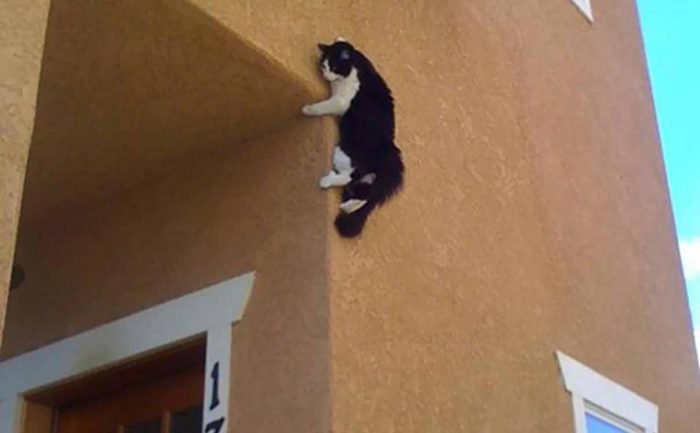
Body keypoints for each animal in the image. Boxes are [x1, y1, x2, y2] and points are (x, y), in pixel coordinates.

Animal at [300, 38, 404, 238]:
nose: (326, 75)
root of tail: (389, 154)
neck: (356, 65)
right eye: (323, 65)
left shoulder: (340, 101)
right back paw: (347, 206)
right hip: (366, 179)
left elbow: (321, 106)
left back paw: (327, 182)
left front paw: (307, 109)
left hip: (342, 153)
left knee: (348, 177)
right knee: (364, 194)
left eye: (333, 66)